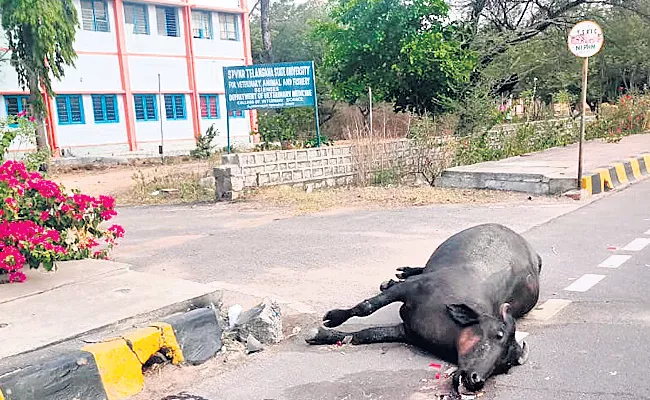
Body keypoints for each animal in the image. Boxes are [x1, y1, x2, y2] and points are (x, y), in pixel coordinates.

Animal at [306, 223, 540, 396]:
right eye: (498, 334)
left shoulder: (406, 331)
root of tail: (534, 254)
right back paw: (398, 275)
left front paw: (323, 335)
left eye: (505, 364)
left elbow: (365, 335)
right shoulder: (410, 288)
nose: (476, 380)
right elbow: (366, 307)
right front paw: (333, 318)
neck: (445, 321)